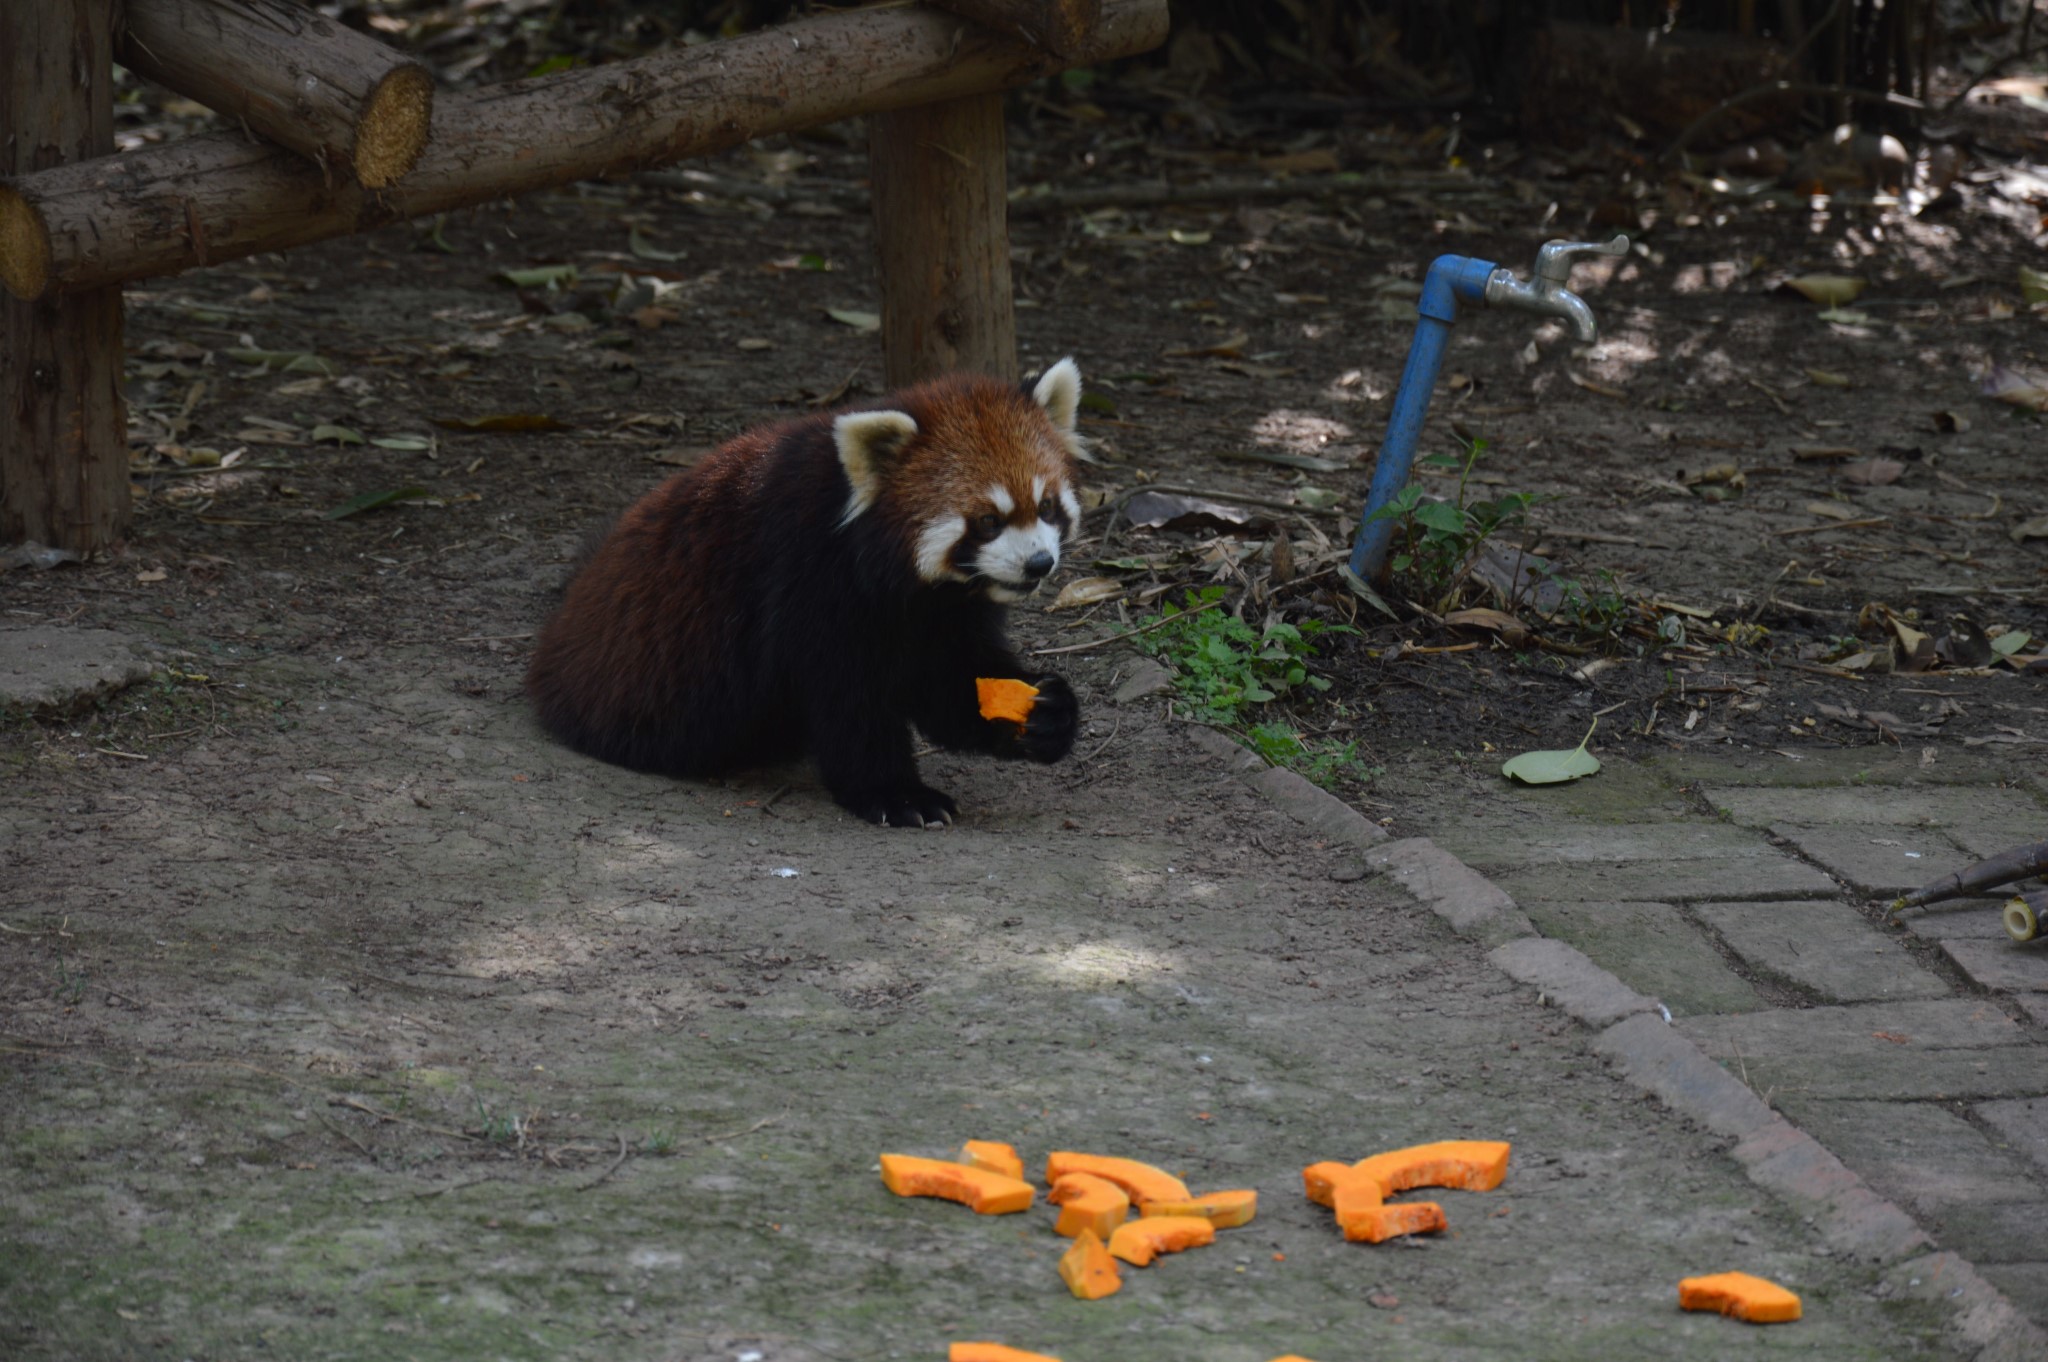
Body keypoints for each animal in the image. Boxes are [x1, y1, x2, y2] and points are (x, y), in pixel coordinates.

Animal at [532, 360, 1089, 823]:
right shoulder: (807, 577)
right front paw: (897, 794)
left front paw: (1047, 712)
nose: (1039, 563)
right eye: (989, 520)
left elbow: (955, 677)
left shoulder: (942, 610)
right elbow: (848, 697)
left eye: (1045, 506)